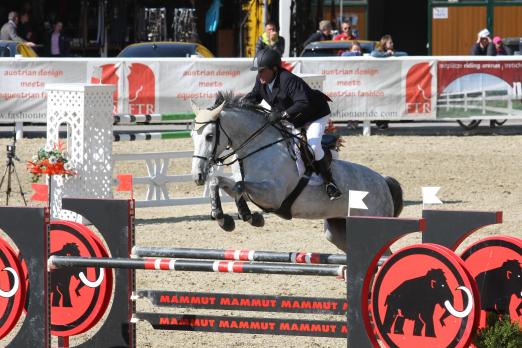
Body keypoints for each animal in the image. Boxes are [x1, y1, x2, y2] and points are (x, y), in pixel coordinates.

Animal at [191, 91, 402, 251]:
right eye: (193, 135)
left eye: (209, 136)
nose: (197, 176)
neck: (258, 146)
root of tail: (384, 182)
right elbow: (219, 182)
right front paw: (223, 218)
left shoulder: (273, 196)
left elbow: (239, 186)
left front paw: (248, 216)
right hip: (338, 230)